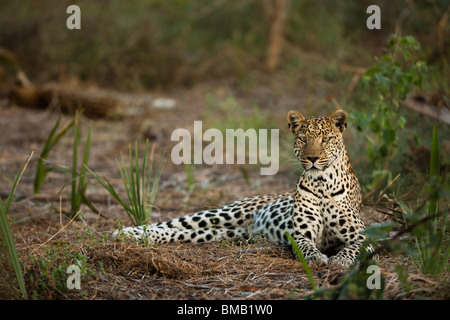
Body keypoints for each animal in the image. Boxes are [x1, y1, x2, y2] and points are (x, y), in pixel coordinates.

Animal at [115, 110, 370, 268]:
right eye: (302, 138)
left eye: (326, 139)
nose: (313, 158)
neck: (321, 182)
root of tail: (249, 227)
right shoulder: (301, 233)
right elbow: (307, 246)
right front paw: (317, 258)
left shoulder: (364, 234)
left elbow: (354, 248)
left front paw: (340, 260)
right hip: (226, 212)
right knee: (171, 223)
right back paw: (124, 233)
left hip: (221, 233)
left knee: (180, 232)